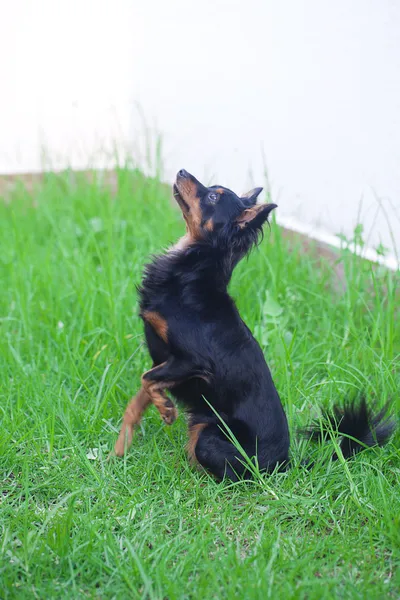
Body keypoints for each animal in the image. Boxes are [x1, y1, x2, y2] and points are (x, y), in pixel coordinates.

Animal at [112, 171, 394, 480]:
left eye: (213, 196)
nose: (182, 171)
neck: (190, 274)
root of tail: (285, 463)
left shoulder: (190, 361)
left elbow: (146, 378)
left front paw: (165, 409)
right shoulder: (162, 360)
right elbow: (139, 396)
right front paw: (122, 444)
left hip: (210, 438)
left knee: (233, 475)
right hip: (202, 428)